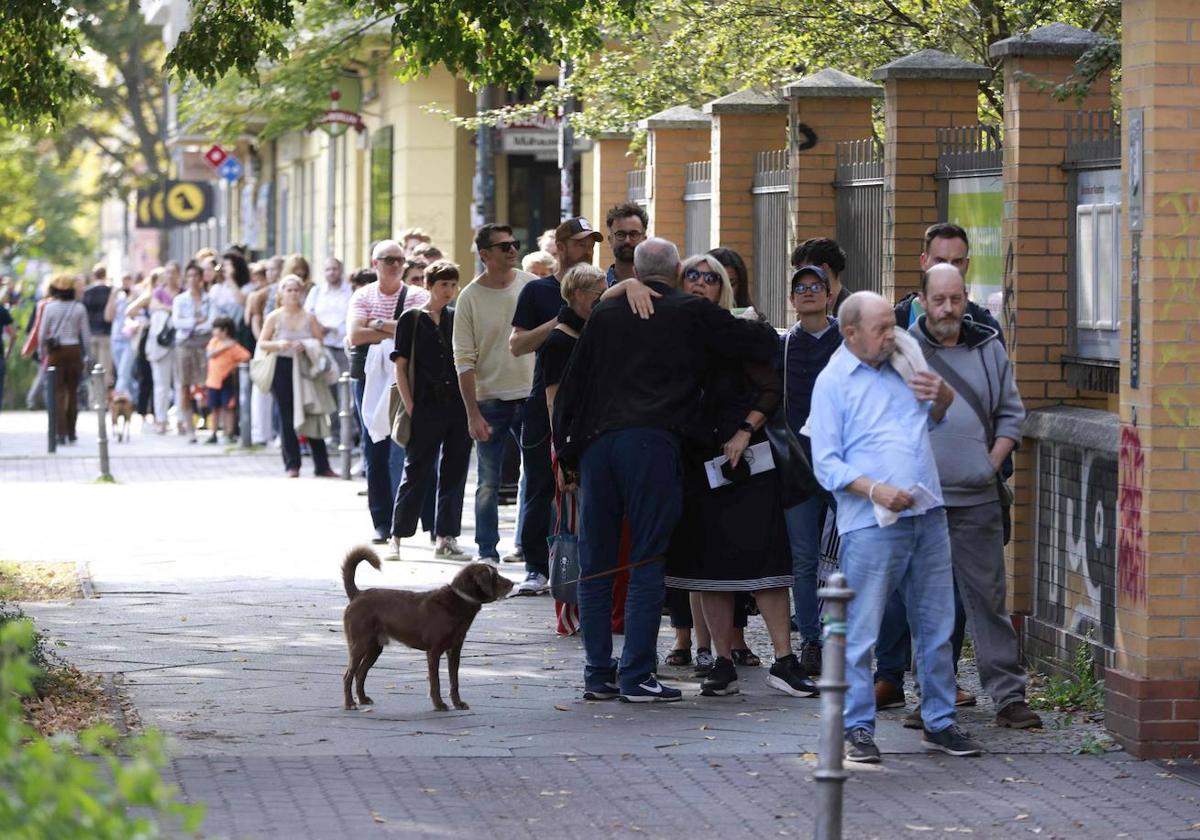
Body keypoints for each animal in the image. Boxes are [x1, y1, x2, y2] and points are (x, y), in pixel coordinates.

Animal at [340, 547, 513, 710]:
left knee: (360, 673)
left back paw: (362, 699)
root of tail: (357, 594)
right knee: (348, 675)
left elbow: (454, 681)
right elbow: (435, 682)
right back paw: (350, 703)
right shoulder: (434, 652)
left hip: (374, 648)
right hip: (360, 645)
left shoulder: (454, 652)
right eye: (495, 577)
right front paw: (439, 705)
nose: (512, 583)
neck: (459, 599)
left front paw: (458, 703)